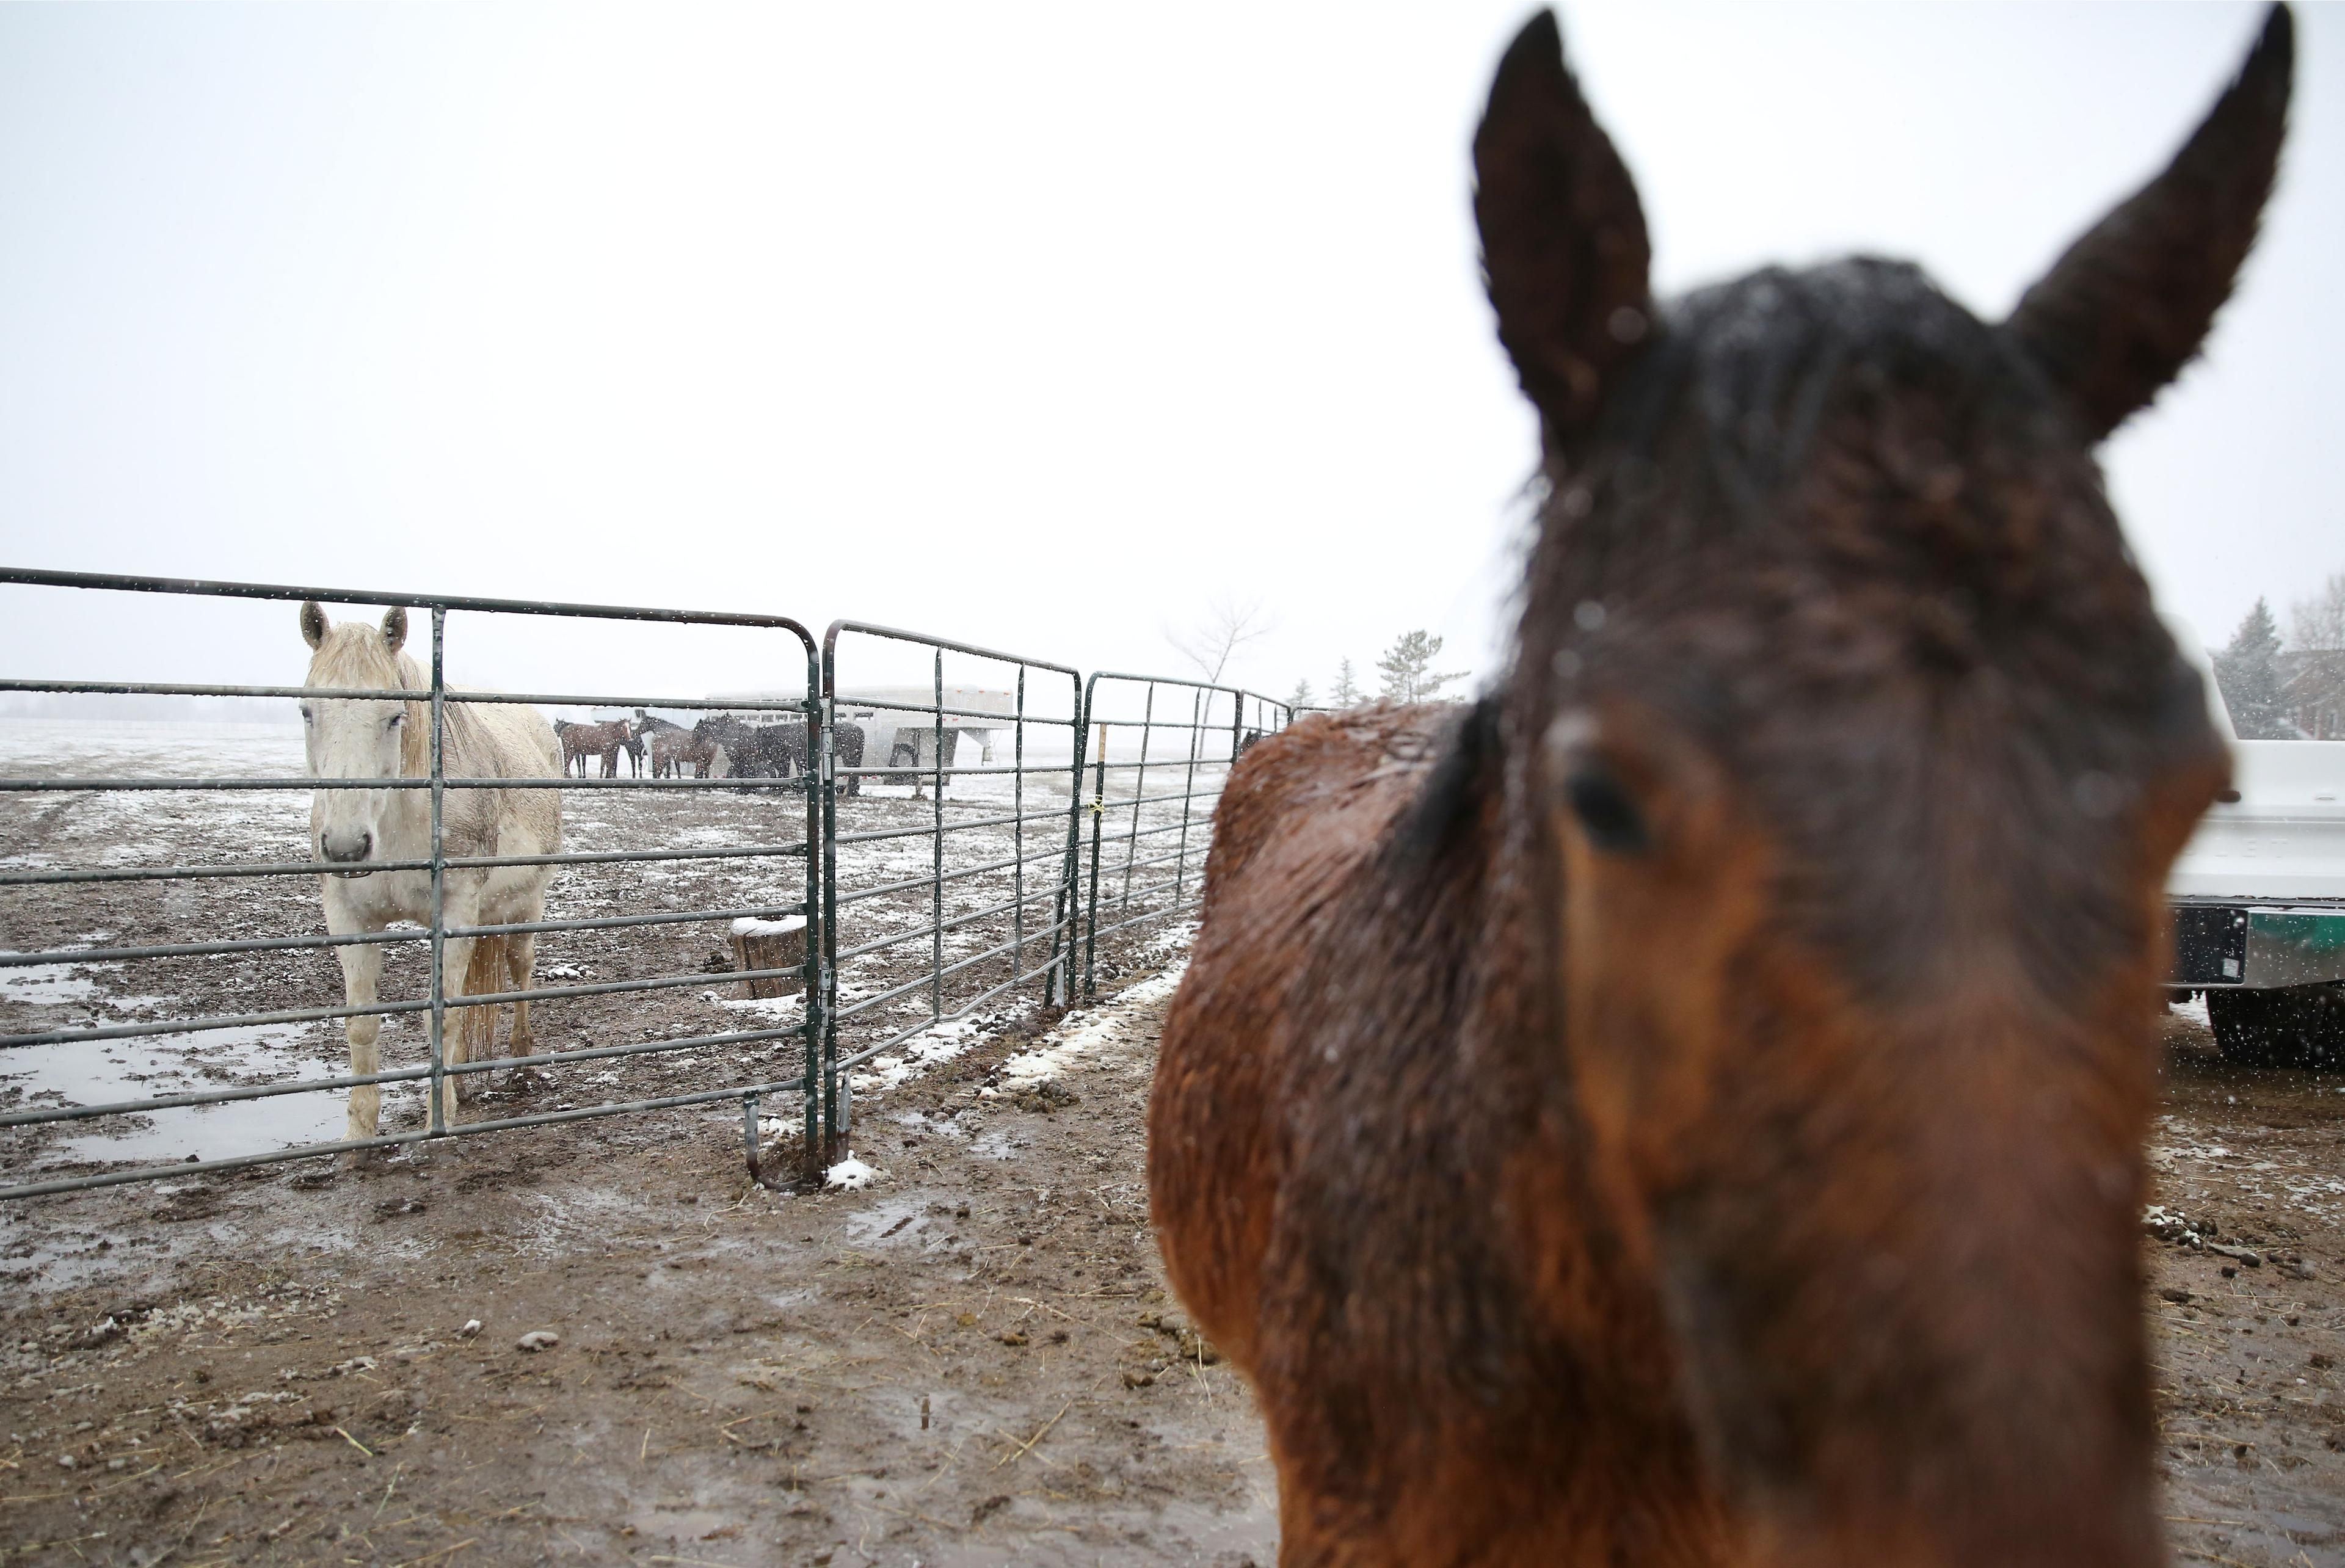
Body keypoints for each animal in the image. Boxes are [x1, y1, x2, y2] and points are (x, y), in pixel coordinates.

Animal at [297, 600, 562, 1139]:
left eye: (395, 716)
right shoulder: (348, 917)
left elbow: (441, 1019)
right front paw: (360, 1132)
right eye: (308, 711)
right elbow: (362, 1023)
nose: (346, 846)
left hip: (527, 901)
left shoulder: (455, 911)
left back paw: (521, 1056)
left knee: (520, 966)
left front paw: (441, 1118)